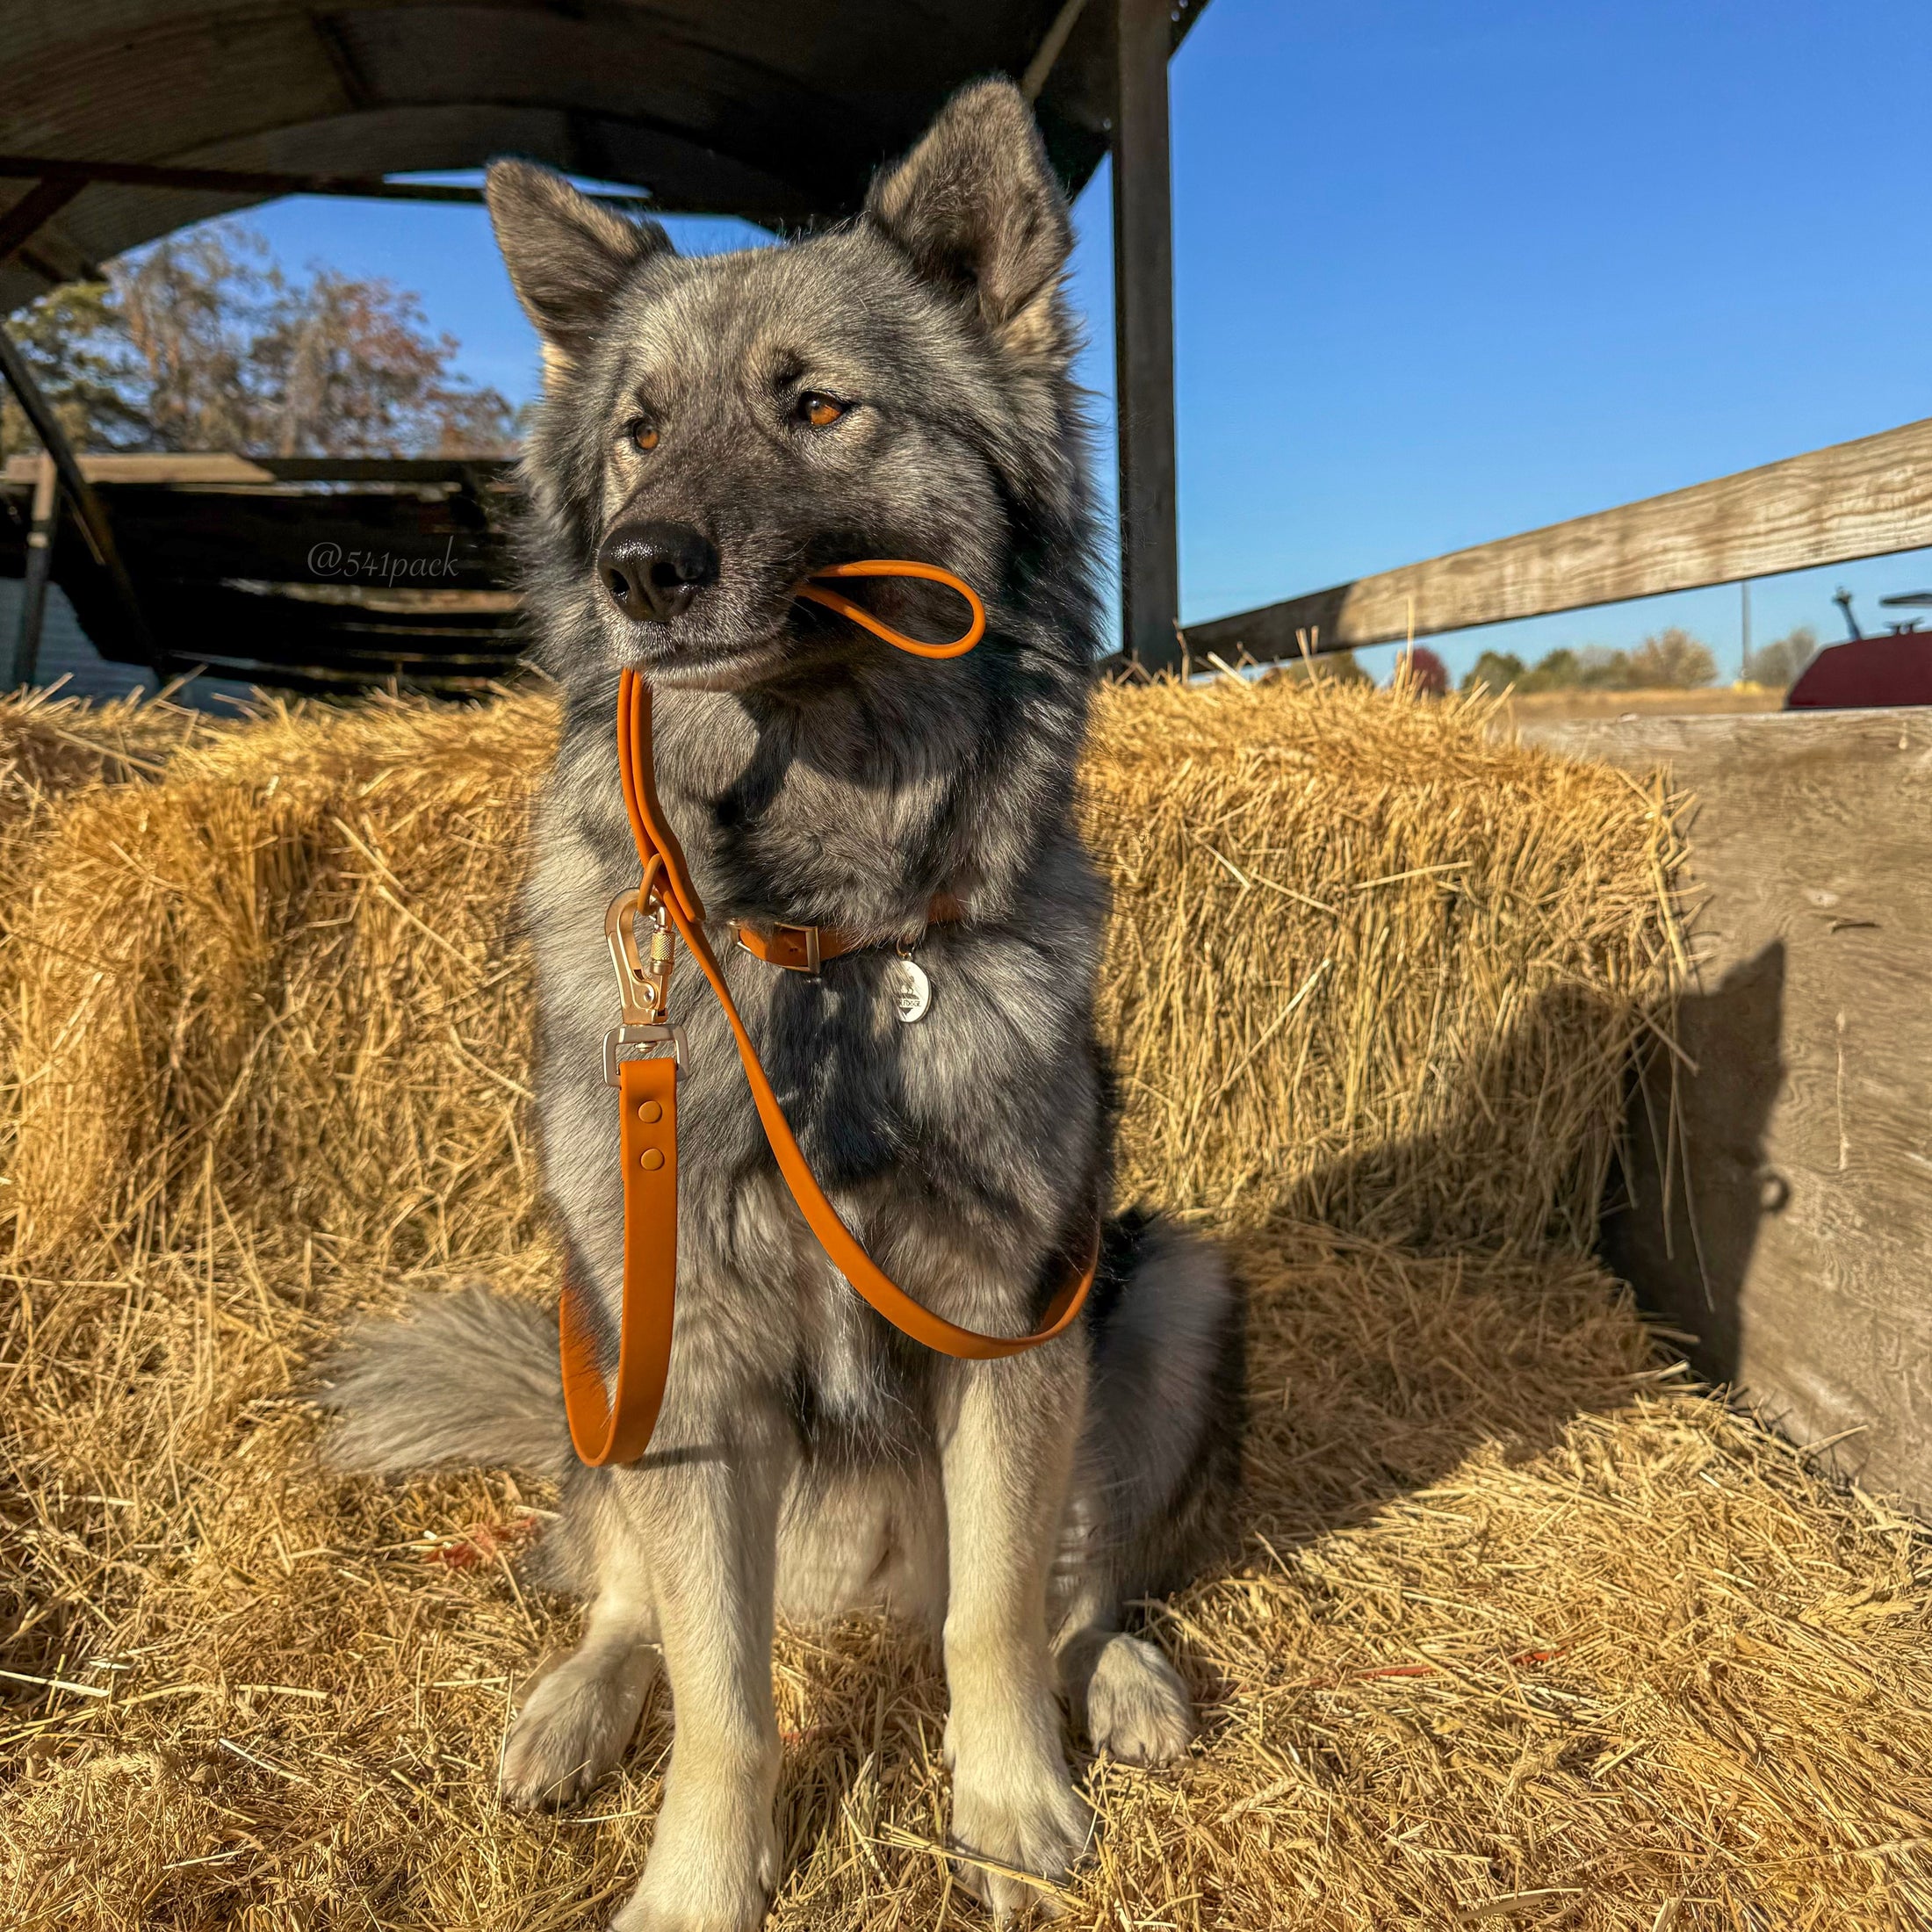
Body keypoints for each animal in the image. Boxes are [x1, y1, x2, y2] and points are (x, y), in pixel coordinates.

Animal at [324, 79, 1244, 1932]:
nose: (639, 570)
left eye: (818, 407)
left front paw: (1009, 1807)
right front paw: (697, 1884)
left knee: (1077, 1583)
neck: (822, 931)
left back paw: (1117, 1679)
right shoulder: (682, 1352)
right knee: (625, 1598)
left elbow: (993, 1619)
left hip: (1170, 1289)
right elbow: (726, 1700)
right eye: (637, 432)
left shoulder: (1009, 1318)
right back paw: (575, 1703)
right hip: (601, 1340)